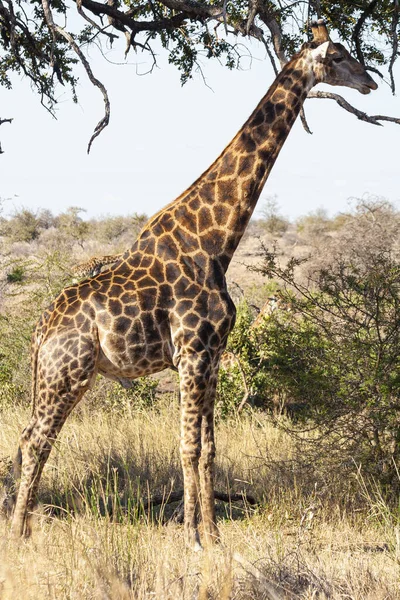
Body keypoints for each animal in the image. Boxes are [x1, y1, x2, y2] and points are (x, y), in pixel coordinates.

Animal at [5, 21, 376, 548]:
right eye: (340, 55)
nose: (371, 82)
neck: (216, 240)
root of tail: (41, 329)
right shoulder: (192, 353)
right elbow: (187, 447)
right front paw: (191, 538)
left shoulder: (213, 356)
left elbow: (210, 448)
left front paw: (213, 535)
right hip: (67, 371)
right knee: (37, 439)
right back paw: (19, 535)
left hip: (64, 374)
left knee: (27, 437)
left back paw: (26, 528)